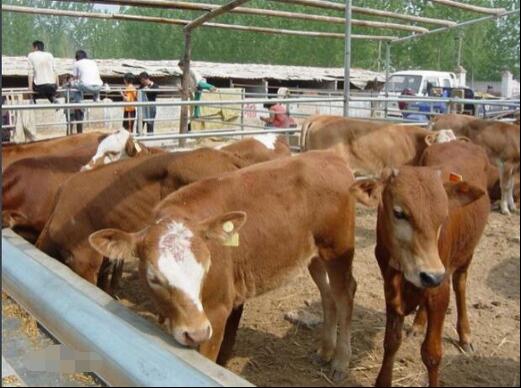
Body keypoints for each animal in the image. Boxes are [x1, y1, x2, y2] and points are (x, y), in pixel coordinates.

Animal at [87, 150, 368, 380]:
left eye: (205, 268)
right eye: (154, 277)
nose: (195, 332)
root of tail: (331, 157)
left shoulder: (217, 311)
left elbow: (208, 357)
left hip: (338, 249)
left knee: (345, 293)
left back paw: (341, 361)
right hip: (314, 254)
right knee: (327, 294)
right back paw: (325, 350)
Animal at [348, 141, 490, 386]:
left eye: (443, 216)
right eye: (399, 213)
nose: (431, 275)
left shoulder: (440, 290)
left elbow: (432, 354)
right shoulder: (390, 285)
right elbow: (391, 341)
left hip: (466, 254)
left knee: (461, 284)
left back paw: (465, 335)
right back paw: (418, 324)